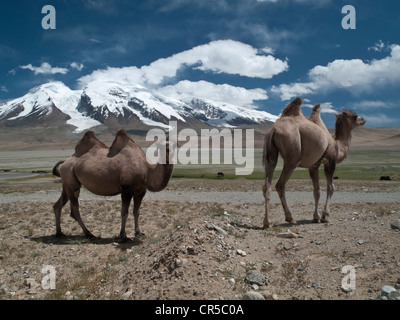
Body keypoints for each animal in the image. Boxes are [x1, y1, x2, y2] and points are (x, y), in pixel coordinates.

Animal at [262, 97, 366, 228]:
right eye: (355, 116)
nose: (363, 120)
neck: (337, 146)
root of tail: (274, 129)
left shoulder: (313, 166)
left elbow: (316, 191)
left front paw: (316, 217)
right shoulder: (330, 161)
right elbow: (331, 187)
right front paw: (325, 216)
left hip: (270, 154)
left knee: (267, 185)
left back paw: (267, 222)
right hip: (292, 157)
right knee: (280, 185)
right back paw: (290, 218)